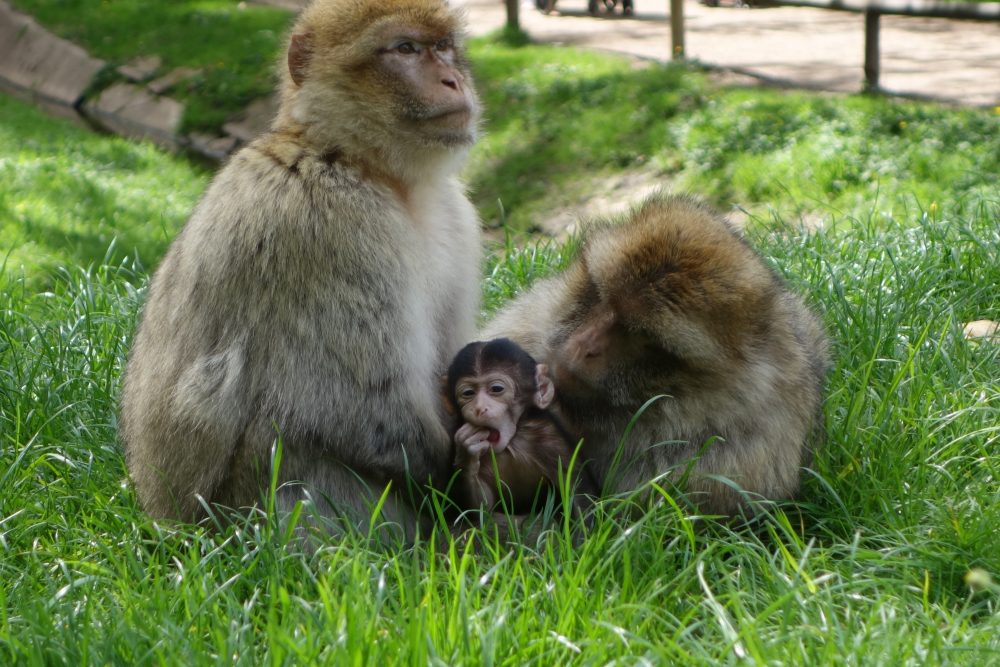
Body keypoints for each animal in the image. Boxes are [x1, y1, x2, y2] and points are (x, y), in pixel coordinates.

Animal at [119, 0, 482, 537]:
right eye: (406, 49)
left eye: (443, 47)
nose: (452, 80)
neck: (360, 163)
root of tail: (164, 524)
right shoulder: (331, 225)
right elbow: (361, 405)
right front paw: (459, 477)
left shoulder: (455, 216)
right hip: (233, 517)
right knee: (290, 438)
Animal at [444, 338, 597, 515]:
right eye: (468, 393)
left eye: (496, 389)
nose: (479, 408)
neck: (513, 441)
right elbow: (482, 506)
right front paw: (467, 454)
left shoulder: (551, 440)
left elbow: (577, 493)